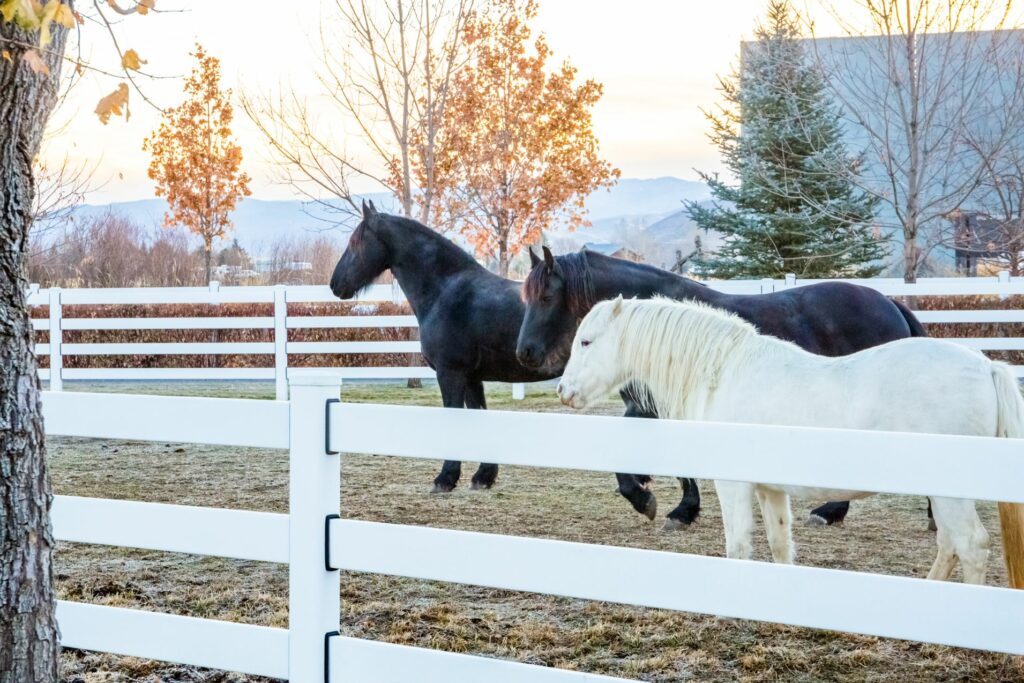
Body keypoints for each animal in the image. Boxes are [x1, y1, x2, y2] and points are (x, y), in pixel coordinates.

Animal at [329, 202, 655, 497]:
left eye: (355, 243)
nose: (335, 285)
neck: (447, 291)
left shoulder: (451, 374)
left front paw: (445, 479)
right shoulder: (472, 378)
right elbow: (480, 419)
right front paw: (483, 476)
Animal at [561, 296, 1024, 589]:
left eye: (586, 341)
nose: (564, 391)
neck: (723, 372)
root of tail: (986, 367)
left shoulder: (734, 487)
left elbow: (739, 547)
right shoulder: (770, 488)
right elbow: (780, 545)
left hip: (951, 495)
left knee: (971, 547)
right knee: (949, 545)